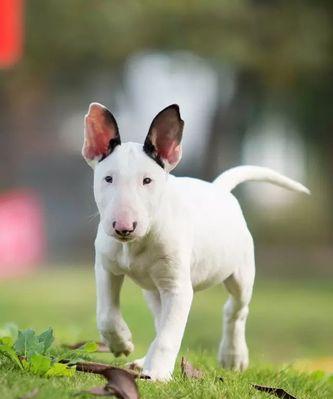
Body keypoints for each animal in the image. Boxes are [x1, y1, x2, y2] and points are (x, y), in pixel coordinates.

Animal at [81, 102, 308, 382]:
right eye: (108, 179)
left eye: (147, 180)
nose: (124, 227)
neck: (135, 244)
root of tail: (219, 189)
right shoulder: (106, 268)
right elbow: (106, 314)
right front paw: (120, 342)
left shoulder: (179, 288)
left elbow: (169, 336)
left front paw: (158, 373)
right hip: (153, 290)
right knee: (160, 320)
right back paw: (144, 360)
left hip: (240, 274)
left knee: (235, 311)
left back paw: (233, 356)